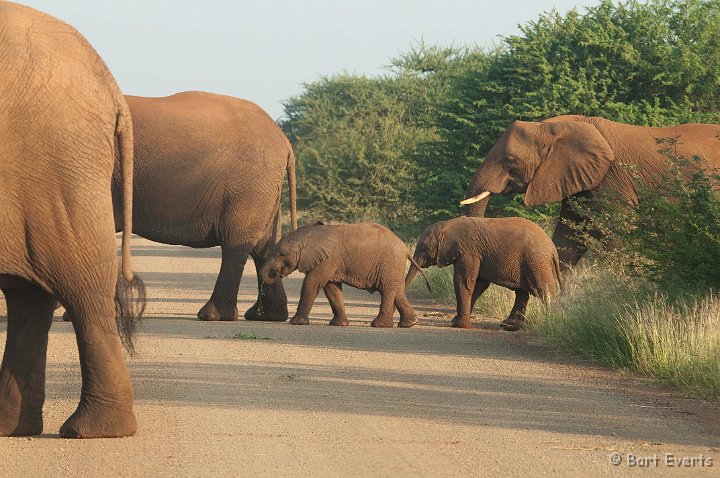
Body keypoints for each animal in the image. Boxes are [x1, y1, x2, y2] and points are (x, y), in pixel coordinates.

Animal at [0, 1, 146, 438]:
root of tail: (111, 87)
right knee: (30, 295)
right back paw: (14, 428)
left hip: (53, 162)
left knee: (79, 284)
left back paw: (92, 431)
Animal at [116, 90, 296, 322]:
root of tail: (284, 141)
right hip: (264, 189)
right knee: (263, 247)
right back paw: (266, 316)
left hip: (249, 186)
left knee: (236, 242)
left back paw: (212, 315)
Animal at [258, 222, 428, 326]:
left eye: (282, 254)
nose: (275, 272)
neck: (308, 234)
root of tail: (406, 250)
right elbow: (331, 288)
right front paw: (339, 324)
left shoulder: (326, 259)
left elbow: (312, 283)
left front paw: (296, 322)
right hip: (393, 265)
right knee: (397, 291)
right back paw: (409, 323)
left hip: (389, 262)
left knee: (387, 290)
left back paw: (379, 325)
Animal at [404, 216, 564, 330]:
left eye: (423, 248)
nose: (429, 287)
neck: (448, 225)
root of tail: (553, 249)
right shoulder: (475, 254)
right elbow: (479, 285)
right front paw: (457, 320)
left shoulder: (469, 251)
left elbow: (463, 281)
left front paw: (459, 325)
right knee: (522, 293)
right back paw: (509, 325)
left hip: (536, 262)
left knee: (544, 291)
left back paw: (549, 320)